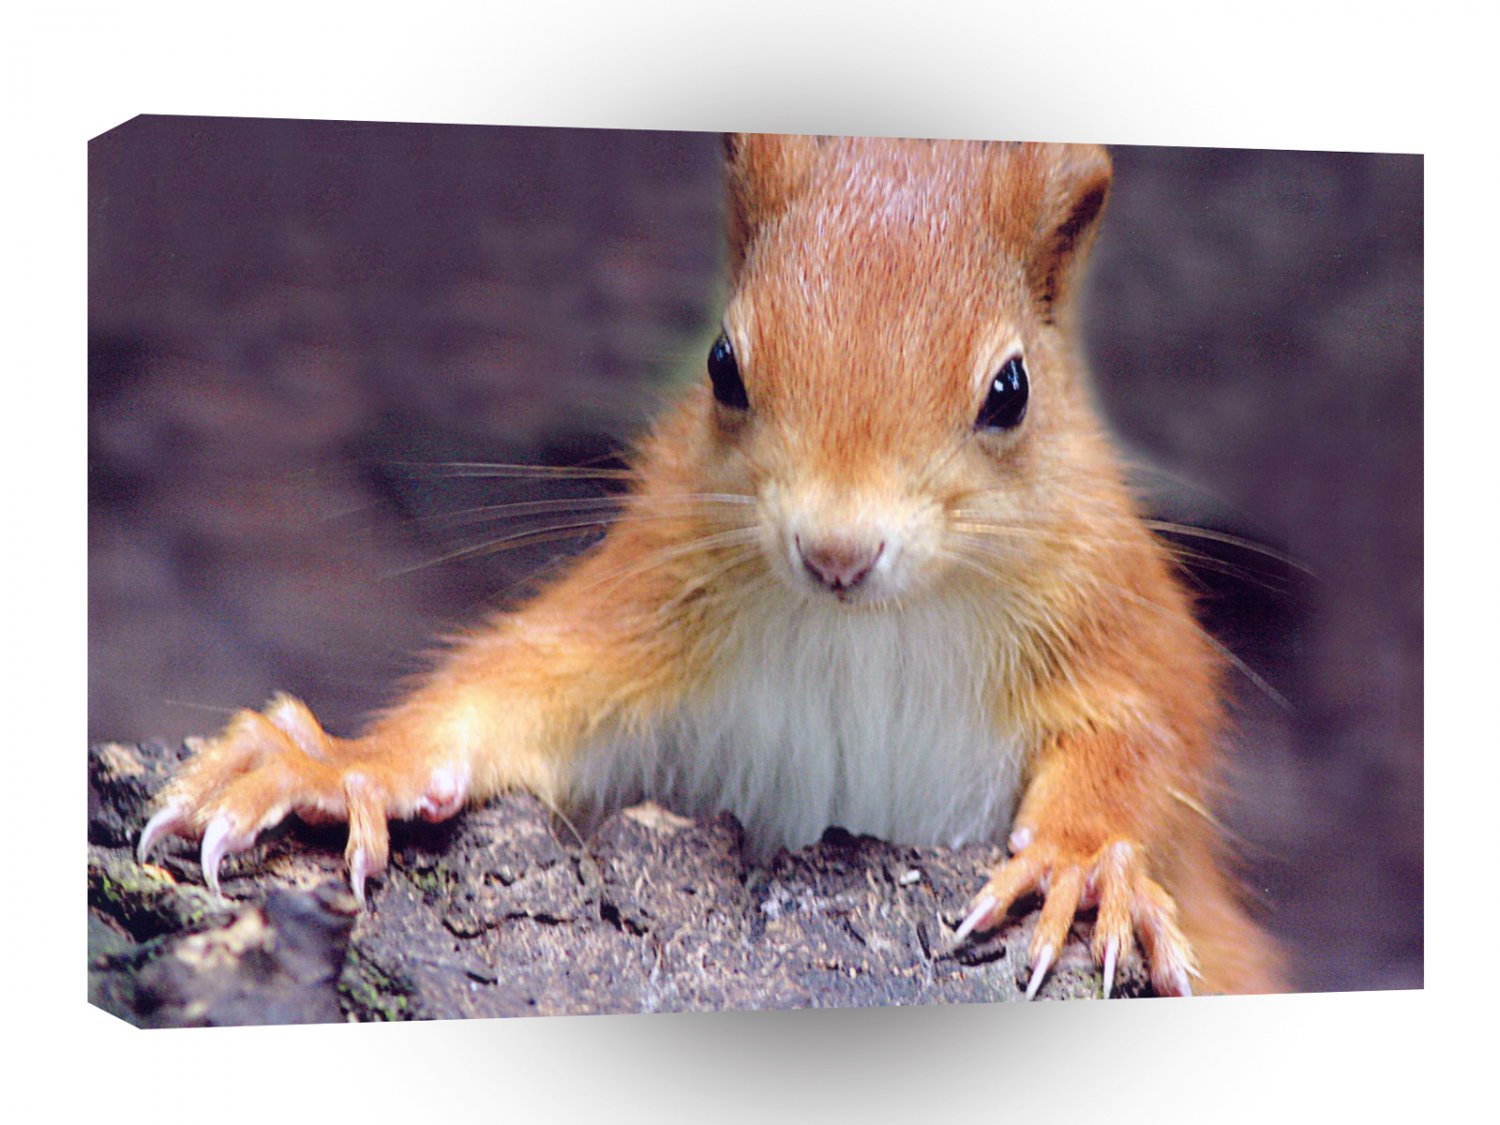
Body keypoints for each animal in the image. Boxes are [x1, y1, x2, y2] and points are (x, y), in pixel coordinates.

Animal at [137, 133, 1284, 998]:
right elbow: (511, 691)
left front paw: (1082, 860)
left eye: (1012, 391)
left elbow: (1144, 742)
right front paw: (341, 764)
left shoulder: (1119, 616)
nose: (836, 551)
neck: (871, 632)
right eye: (722, 366)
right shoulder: (650, 596)